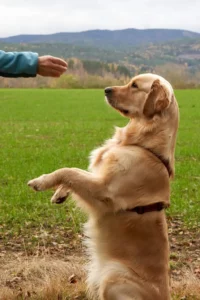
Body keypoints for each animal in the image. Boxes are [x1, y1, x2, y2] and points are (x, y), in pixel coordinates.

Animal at [27, 73, 178, 300]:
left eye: (134, 86)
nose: (106, 90)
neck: (144, 146)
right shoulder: (98, 178)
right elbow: (77, 174)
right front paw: (60, 193)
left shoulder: (105, 192)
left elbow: (69, 171)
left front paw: (41, 181)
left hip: (112, 275)